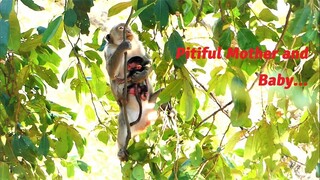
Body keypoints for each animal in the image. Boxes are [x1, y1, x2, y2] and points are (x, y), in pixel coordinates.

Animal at [104, 23, 160, 161]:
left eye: (126, 26)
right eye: (120, 28)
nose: (128, 30)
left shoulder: (139, 45)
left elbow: (150, 62)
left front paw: (142, 75)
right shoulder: (108, 50)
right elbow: (111, 72)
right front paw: (123, 46)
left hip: (153, 108)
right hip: (127, 116)